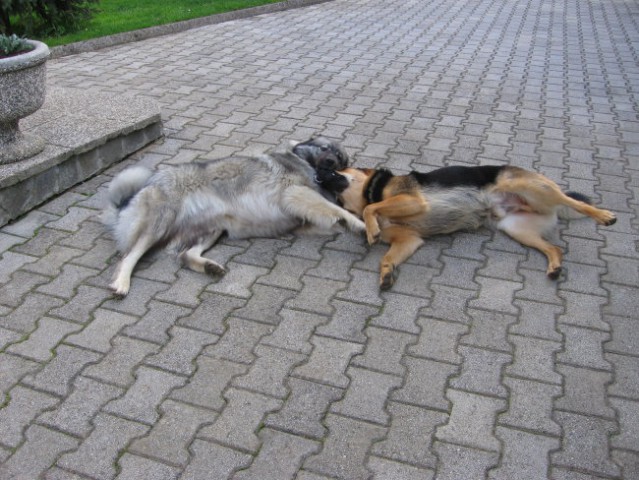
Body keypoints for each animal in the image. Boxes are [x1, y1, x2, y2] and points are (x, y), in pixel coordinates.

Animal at [338, 165, 616, 288]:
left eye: (342, 168)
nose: (327, 168)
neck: (372, 191)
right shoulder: (409, 240)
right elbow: (387, 258)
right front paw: (386, 273)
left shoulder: (413, 201)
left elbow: (371, 209)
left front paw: (371, 228)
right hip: (515, 227)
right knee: (555, 248)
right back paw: (555, 267)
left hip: (527, 186)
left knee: (574, 201)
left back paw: (604, 216)